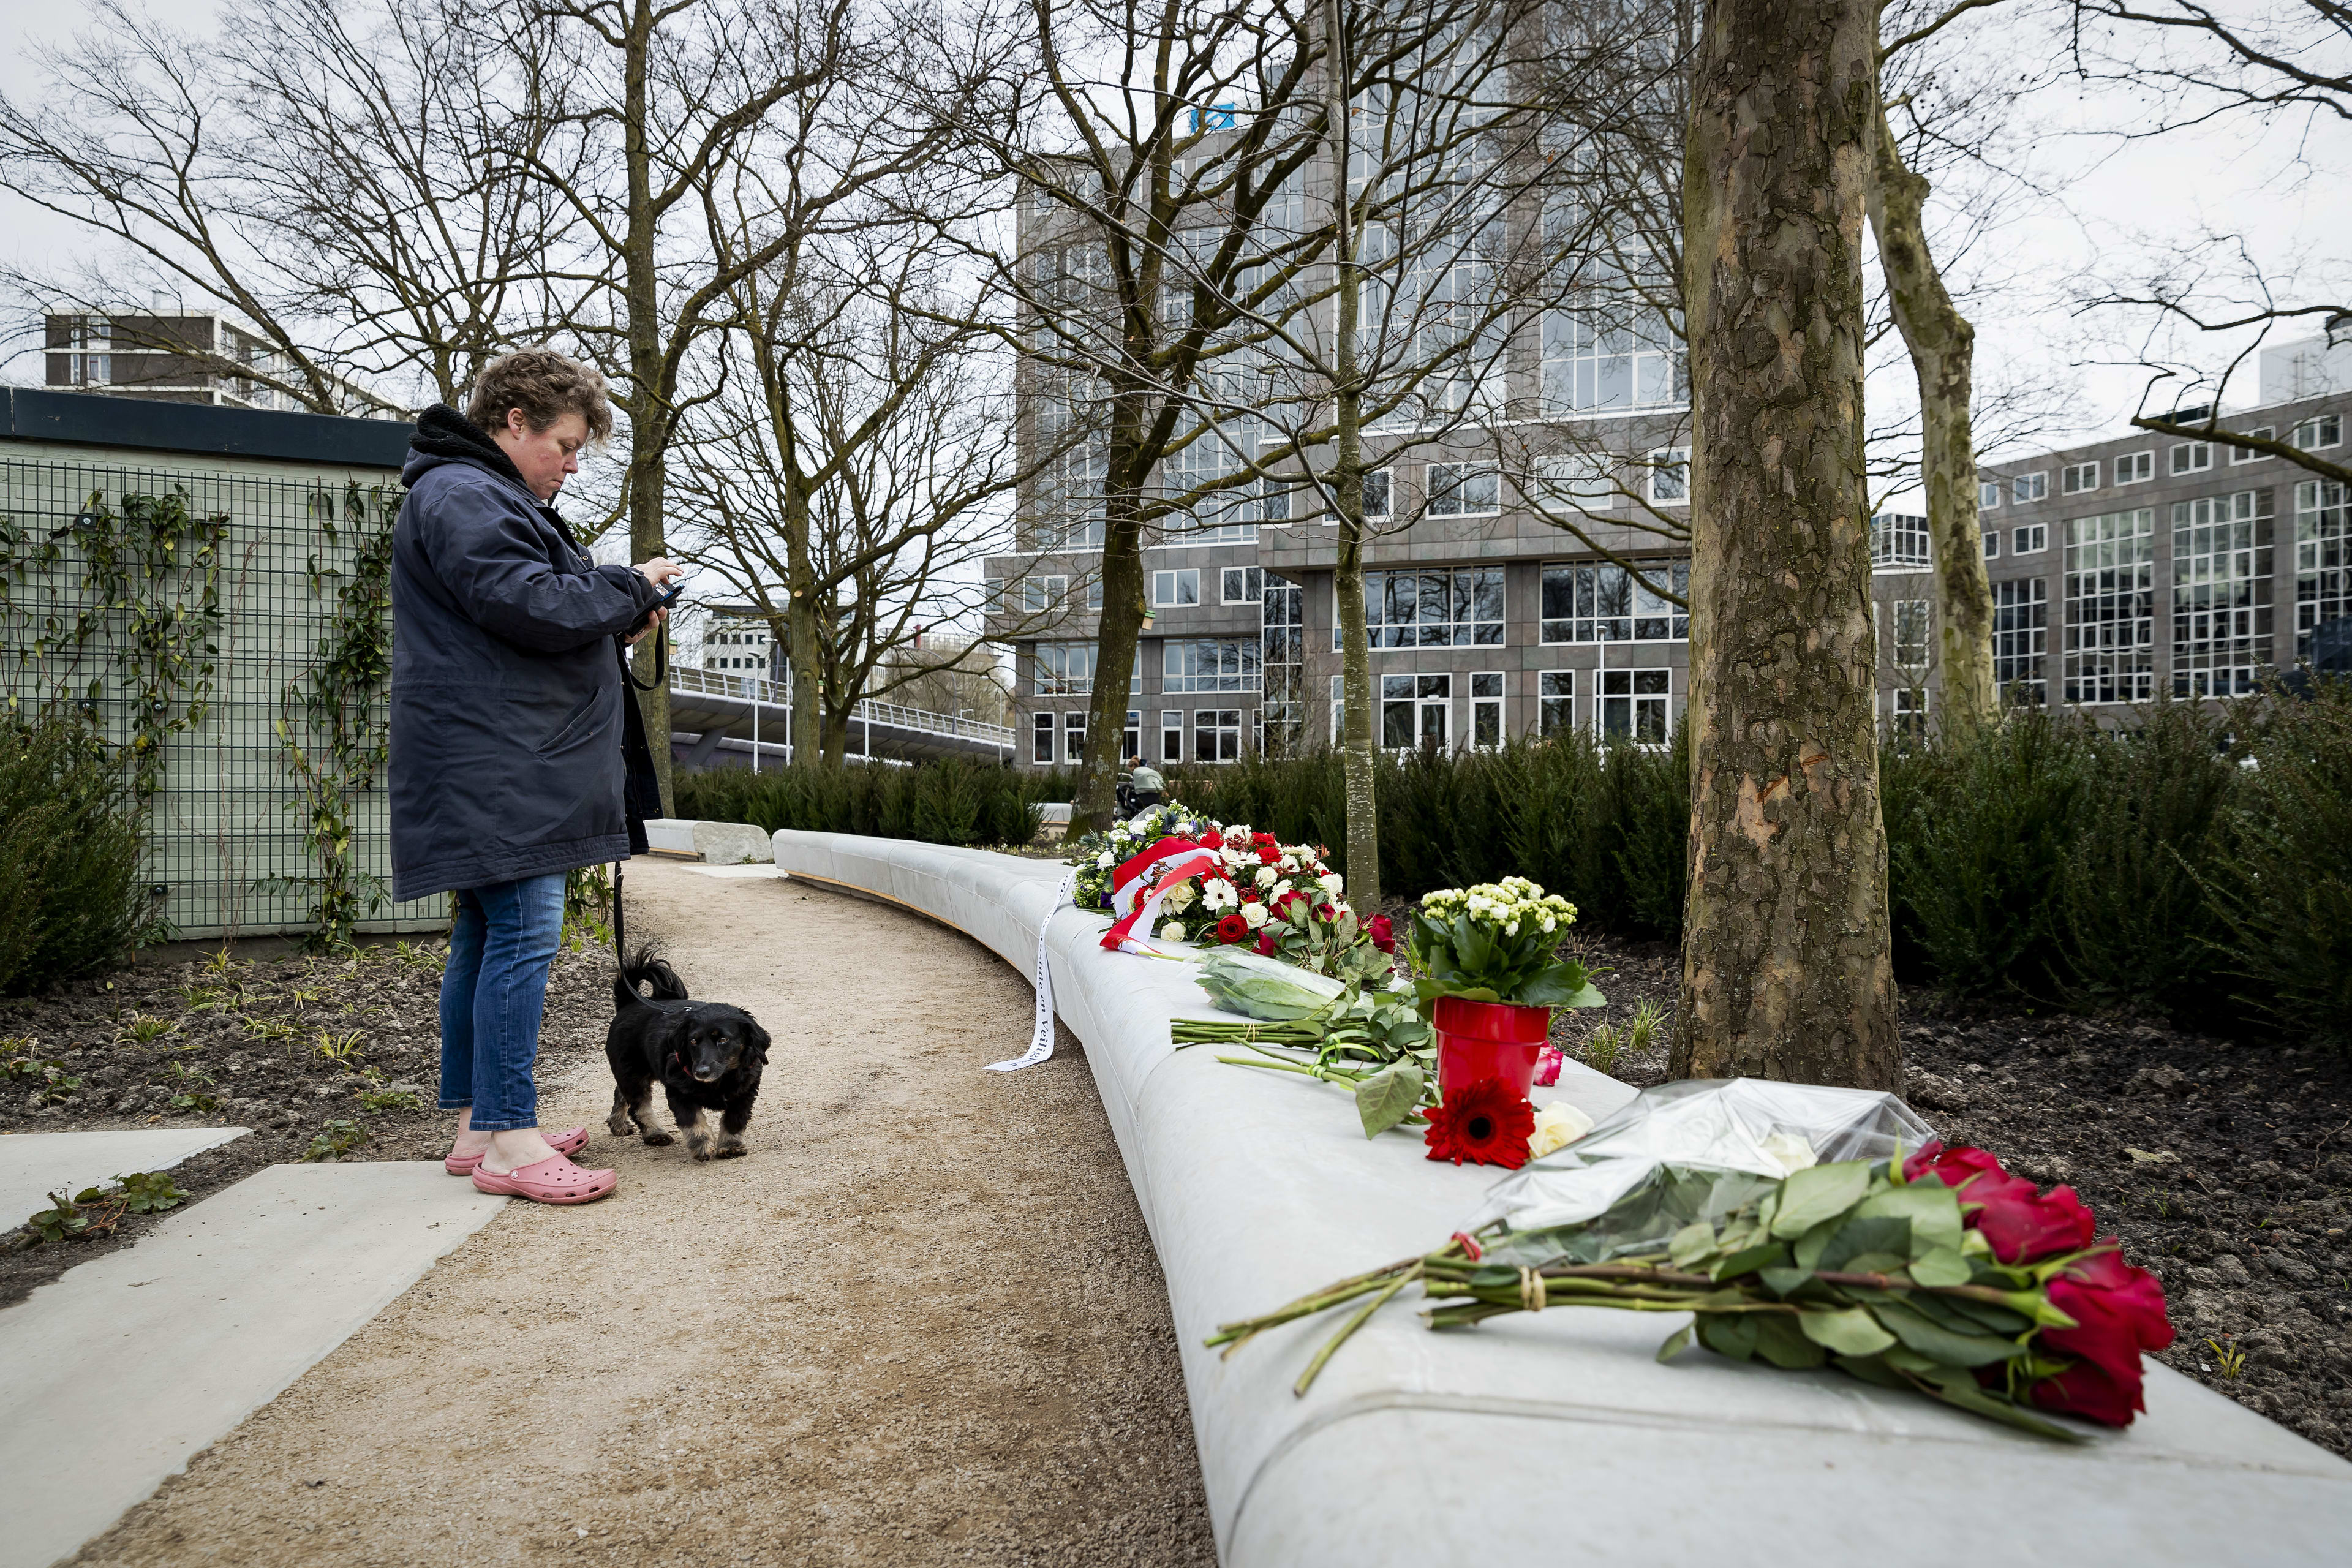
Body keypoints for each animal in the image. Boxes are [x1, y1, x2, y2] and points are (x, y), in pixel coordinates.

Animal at [606, 949, 771, 1161]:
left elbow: (734, 1120)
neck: (722, 1079)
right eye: (693, 1041)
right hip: (632, 1073)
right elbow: (693, 1121)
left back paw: (618, 1124)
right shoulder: (679, 1093)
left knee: (620, 1093)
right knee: (639, 1105)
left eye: (723, 1039)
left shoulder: (744, 1093)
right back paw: (655, 1134)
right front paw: (702, 1145)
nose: (701, 1072)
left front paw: (731, 1146)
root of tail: (629, 1002)